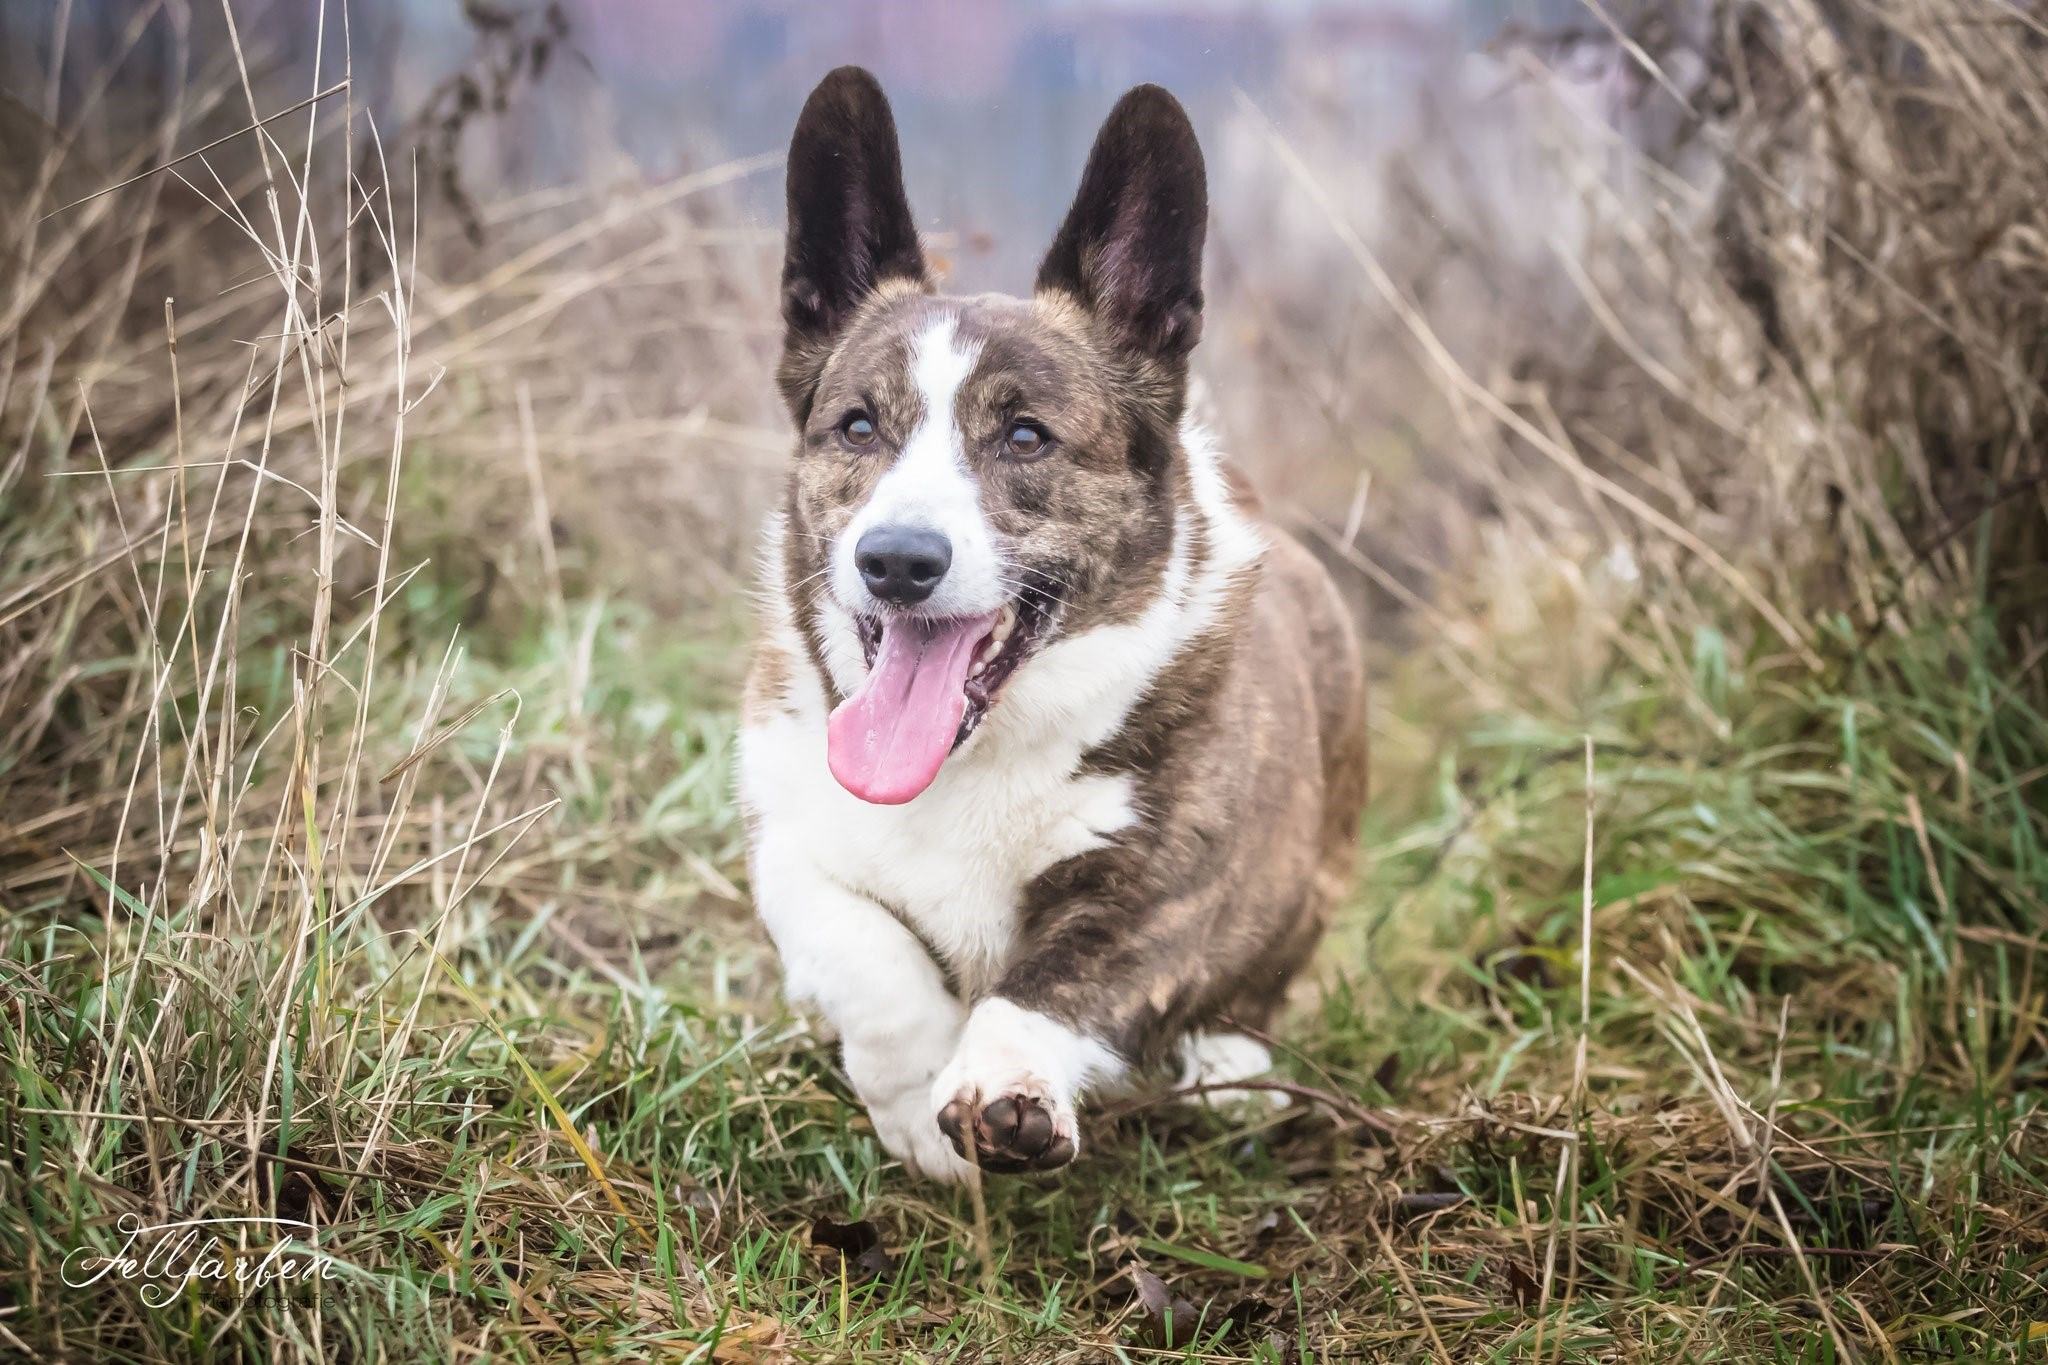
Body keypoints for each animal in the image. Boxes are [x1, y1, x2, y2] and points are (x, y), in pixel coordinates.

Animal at [729, 63, 1368, 1178]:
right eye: (858, 425)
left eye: (1025, 437)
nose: (896, 561)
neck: (962, 763)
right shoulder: (791, 843)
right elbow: (867, 955)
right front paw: (918, 1108)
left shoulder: (1161, 889)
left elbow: (1049, 984)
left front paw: (1000, 1088)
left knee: (1253, 993)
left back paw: (1231, 1076)